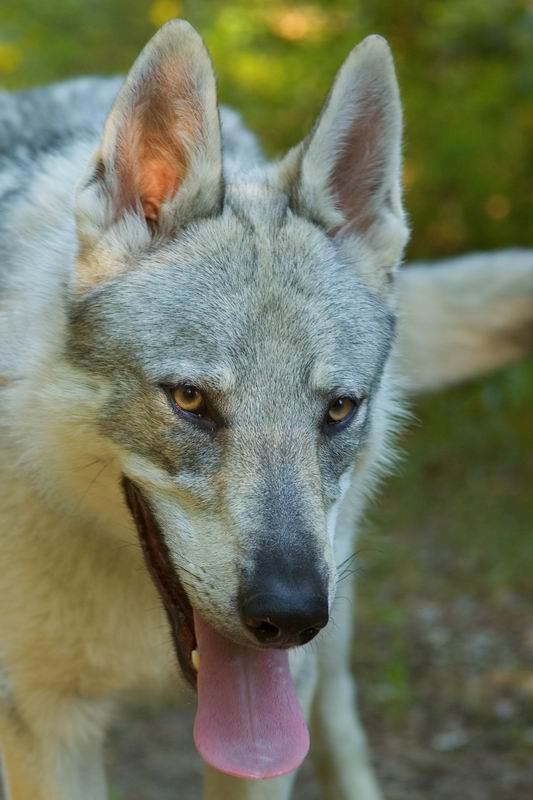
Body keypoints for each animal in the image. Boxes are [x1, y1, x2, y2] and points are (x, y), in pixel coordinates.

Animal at [0, 19, 531, 800]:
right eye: (189, 400)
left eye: (338, 409)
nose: (290, 614)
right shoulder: (46, 728)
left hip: (333, 633)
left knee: (342, 727)